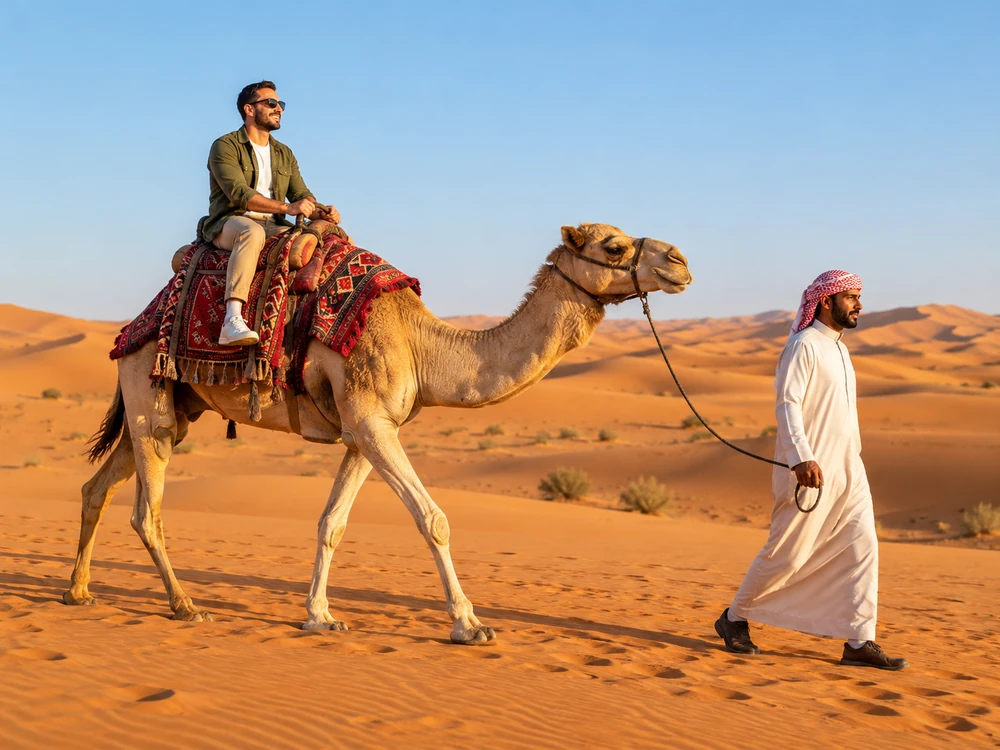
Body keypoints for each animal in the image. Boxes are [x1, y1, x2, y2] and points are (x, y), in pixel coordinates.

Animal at [64, 223, 692, 644]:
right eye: (613, 246)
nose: (681, 260)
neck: (422, 344)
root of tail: (134, 324)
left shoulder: (366, 431)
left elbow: (332, 524)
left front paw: (319, 616)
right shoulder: (370, 420)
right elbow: (434, 520)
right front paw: (470, 623)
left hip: (173, 408)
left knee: (98, 487)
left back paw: (78, 590)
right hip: (149, 393)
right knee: (146, 510)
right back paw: (185, 606)